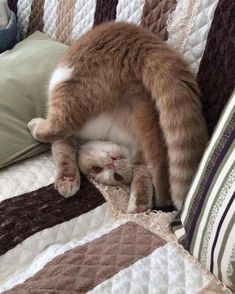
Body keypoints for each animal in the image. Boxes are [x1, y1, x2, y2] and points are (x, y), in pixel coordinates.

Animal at [27, 21, 207, 212]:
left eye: (117, 176)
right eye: (97, 169)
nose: (112, 162)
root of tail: (140, 42)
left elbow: (62, 149)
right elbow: (66, 155)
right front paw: (139, 203)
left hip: (67, 83)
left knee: (58, 125)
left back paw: (35, 125)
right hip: (149, 117)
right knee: (159, 160)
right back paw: (161, 198)